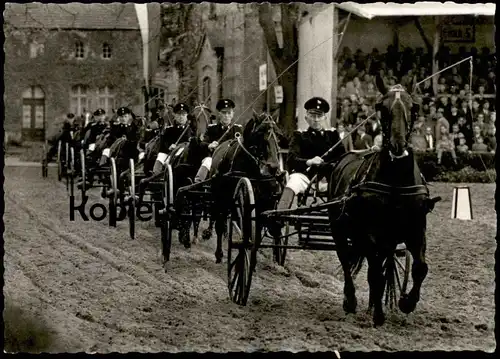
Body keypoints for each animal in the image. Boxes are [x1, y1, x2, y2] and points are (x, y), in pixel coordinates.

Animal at [201, 113, 284, 264]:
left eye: (278, 135)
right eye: (260, 132)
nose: (274, 167)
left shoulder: (260, 204)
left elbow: (256, 232)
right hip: (219, 198)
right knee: (218, 221)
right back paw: (217, 249)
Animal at [328, 77, 442, 328]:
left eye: (414, 107)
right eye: (381, 106)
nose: (398, 146)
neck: (396, 181)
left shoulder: (416, 229)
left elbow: (420, 268)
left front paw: (406, 302)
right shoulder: (372, 235)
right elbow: (374, 276)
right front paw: (379, 315)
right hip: (339, 228)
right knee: (346, 258)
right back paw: (350, 300)